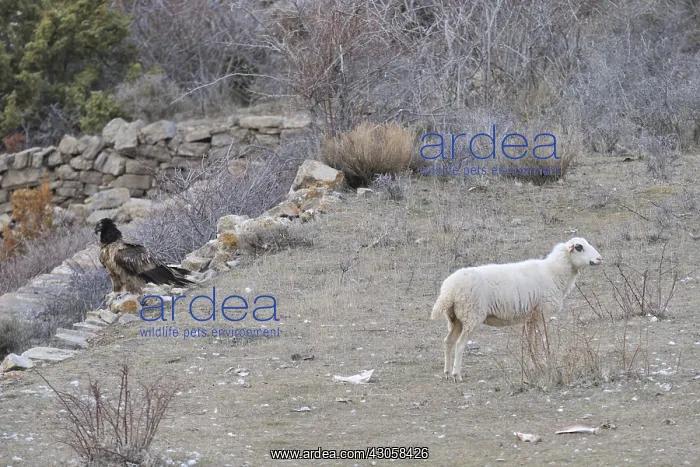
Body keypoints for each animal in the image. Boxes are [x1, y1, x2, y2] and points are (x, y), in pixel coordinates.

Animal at [430, 237, 603, 382]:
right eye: (579, 247)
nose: (600, 258)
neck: (553, 272)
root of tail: (448, 290)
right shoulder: (543, 313)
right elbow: (543, 340)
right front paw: (547, 362)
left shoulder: (531, 316)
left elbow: (531, 342)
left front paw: (532, 365)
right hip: (471, 315)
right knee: (460, 344)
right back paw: (456, 374)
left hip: (455, 319)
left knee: (448, 341)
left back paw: (447, 372)